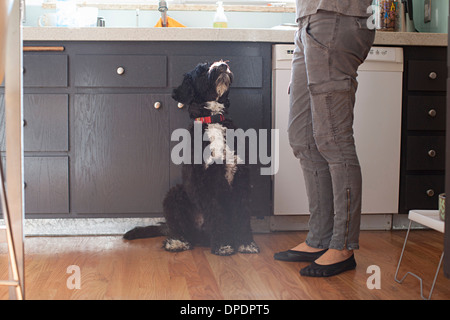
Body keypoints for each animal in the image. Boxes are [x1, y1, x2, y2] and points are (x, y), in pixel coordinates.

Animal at [125, 59, 262, 255]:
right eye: (201, 70)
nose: (223, 65)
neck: (213, 120)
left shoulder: (240, 177)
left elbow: (242, 214)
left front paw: (246, 243)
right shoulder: (207, 181)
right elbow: (216, 214)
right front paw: (223, 245)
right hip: (174, 194)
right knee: (180, 229)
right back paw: (177, 242)